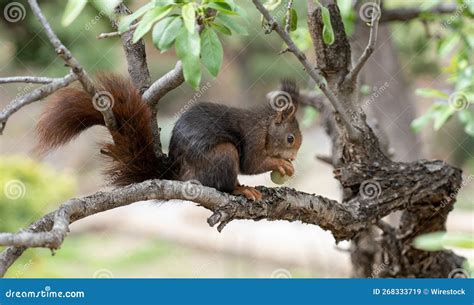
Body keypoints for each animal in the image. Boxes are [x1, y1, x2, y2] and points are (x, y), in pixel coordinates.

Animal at [35, 75, 302, 201]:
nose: (295, 157)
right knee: (221, 184)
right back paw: (240, 189)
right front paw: (282, 164)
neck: (266, 125)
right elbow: (252, 163)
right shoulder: (253, 138)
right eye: (290, 138)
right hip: (224, 153)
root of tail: (179, 175)